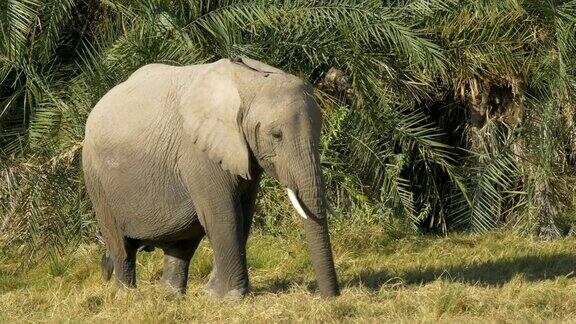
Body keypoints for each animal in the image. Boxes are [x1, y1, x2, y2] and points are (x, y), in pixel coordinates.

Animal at [83, 56, 340, 298]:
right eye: (276, 135)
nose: (332, 297)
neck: (249, 80)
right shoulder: (199, 154)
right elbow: (224, 215)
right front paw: (231, 298)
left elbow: (243, 215)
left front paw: (213, 295)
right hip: (96, 180)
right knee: (121, 245)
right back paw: (127, 296)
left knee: (182, 243)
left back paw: (170, 295)